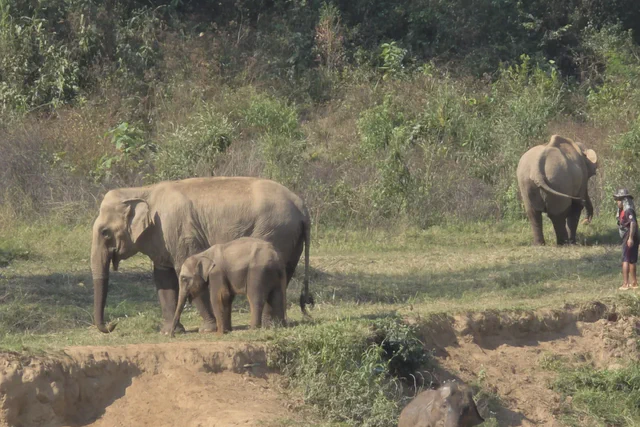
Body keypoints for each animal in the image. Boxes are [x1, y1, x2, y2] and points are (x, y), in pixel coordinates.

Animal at [90, 177, 312, 335]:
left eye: (105, 232)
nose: (113, 325)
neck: (143, 190)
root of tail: (302, 206)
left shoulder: (181, 233)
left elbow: (184, 270)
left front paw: (207, 329)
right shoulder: (162, 238)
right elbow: (163, 279)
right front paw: (169, 332)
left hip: (275, 230)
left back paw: (265, 325)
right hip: (290, 239)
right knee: (285, 274)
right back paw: (273, 324)